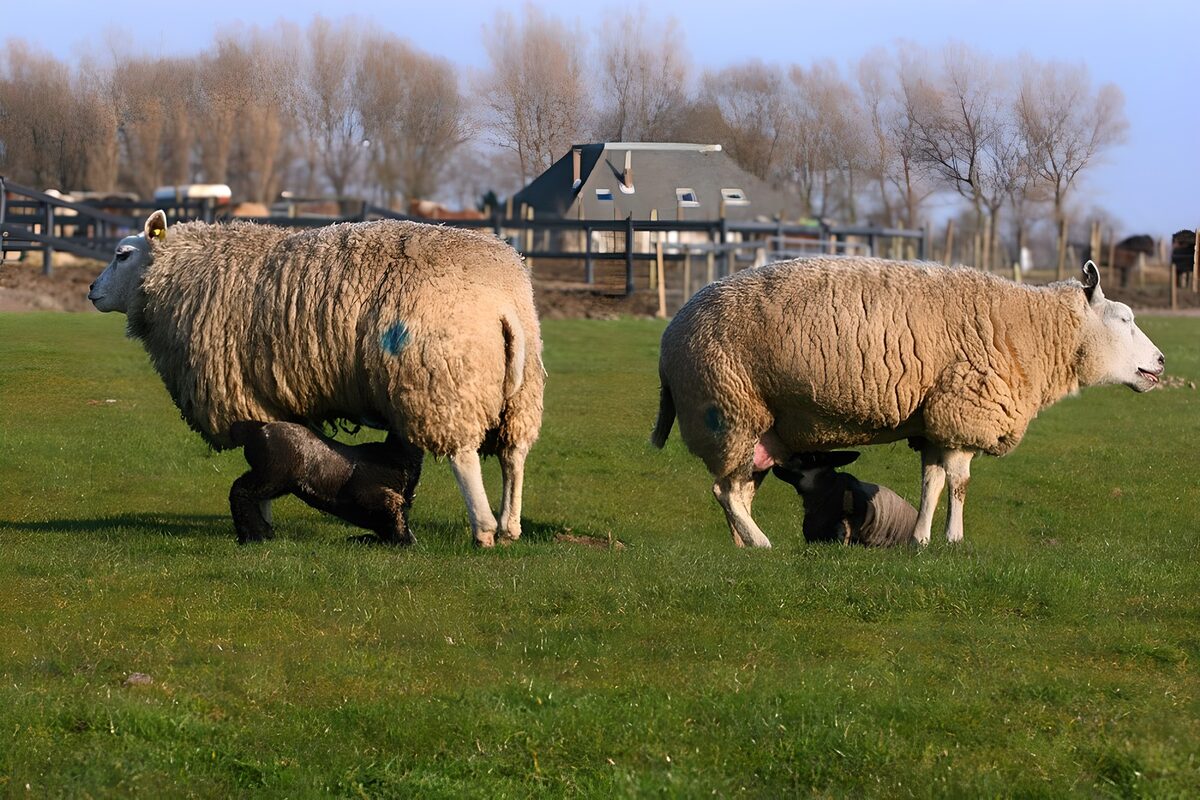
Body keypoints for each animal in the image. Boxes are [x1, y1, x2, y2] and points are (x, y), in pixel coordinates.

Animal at [229, 421, 423, 545]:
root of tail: (259, 432)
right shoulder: (370, 494)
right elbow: (397, 517)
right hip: (272, 476)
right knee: (240, 490)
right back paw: (256, 534)